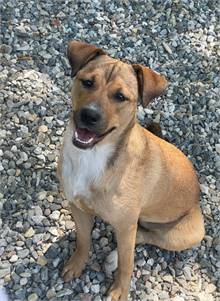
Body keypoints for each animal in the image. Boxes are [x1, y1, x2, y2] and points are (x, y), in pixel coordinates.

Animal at [57, 41, 205, 300]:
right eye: (87, 82)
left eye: (120, 97)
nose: (89, 114)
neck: (93, 156)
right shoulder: (77, 206)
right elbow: (83, 240)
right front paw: (76, 264)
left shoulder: (126, 226)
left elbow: (128, 264)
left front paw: (119, 291)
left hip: (186, 233)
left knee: (147, 237)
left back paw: (114, 257)